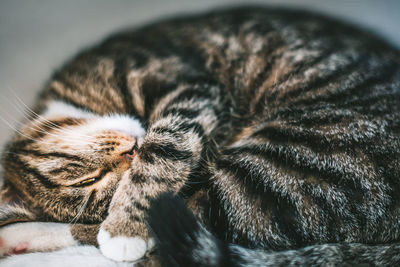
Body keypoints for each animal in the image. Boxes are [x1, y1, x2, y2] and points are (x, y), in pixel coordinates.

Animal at [0, 7, 400, 266]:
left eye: (87, 179)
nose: (132, 152)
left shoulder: (188, 87)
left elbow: (164, 149)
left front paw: (124, 229)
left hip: (285, 167)